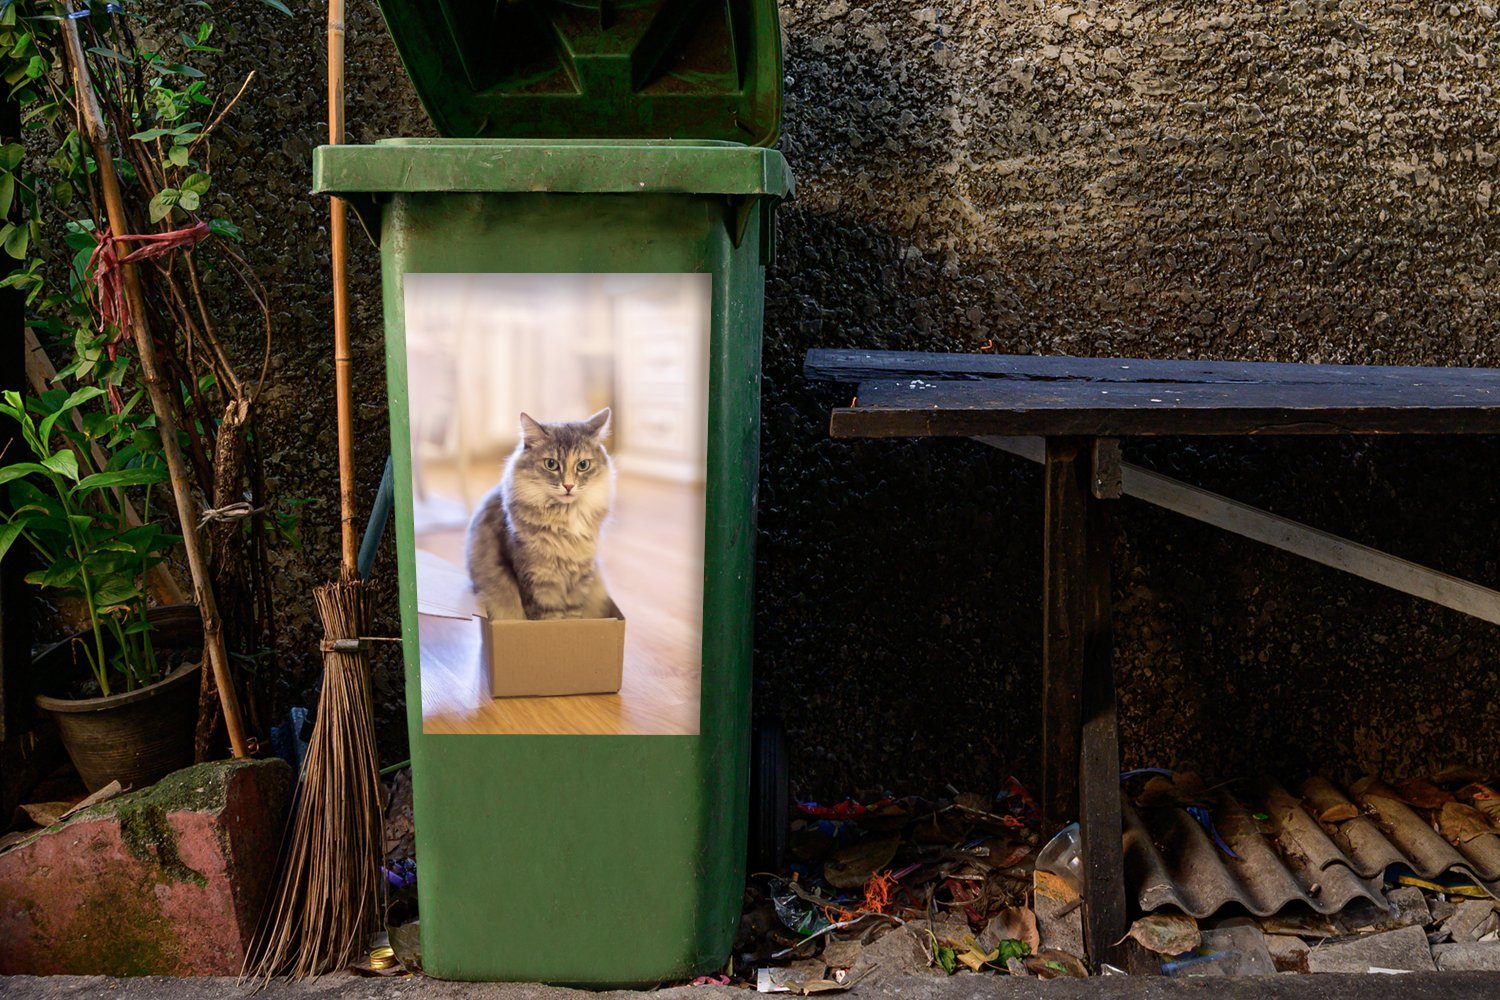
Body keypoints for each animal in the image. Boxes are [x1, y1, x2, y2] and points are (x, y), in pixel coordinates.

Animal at [462, 407, 615, 617]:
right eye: (551, 464)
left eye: (583, 465)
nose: (569, 486)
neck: (564, 520)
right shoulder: (537, 580)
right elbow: (549, 616)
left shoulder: (580, 579)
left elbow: (574, 614)